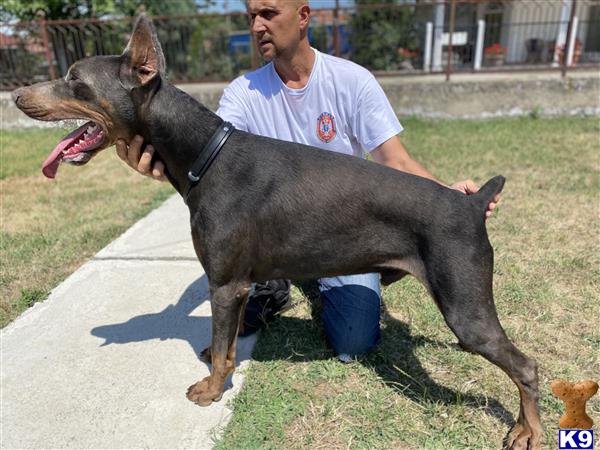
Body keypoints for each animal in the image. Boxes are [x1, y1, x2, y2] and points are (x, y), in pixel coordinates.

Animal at [10, 15, 544, 448]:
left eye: (74, 79)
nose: (16, 95)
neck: (205, 154)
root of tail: (471, 202)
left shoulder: (224, 284)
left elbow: (222, 353)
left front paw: (210, 390)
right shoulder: (238, 285)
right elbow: (225, 345)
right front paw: (216, 364)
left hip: (465, 307)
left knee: (526, 366)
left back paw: (526, 431)